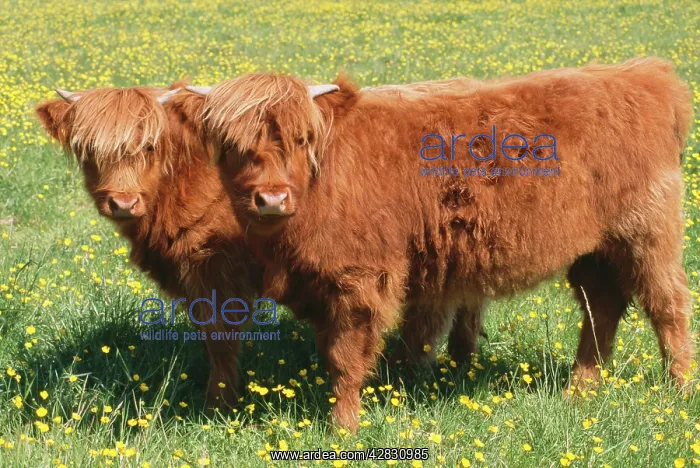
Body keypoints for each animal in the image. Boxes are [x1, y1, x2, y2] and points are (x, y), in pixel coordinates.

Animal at [188, 57, 694, 431]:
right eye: (231, 146)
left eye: (300, 139)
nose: (271, 198)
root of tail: (642, 74)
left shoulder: (360, 280)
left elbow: (345, 358)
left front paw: (343, 428)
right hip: (595, 249)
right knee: (600, 306)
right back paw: (581, 390)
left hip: (648, 235)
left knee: (668, 306)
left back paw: (681, 390)